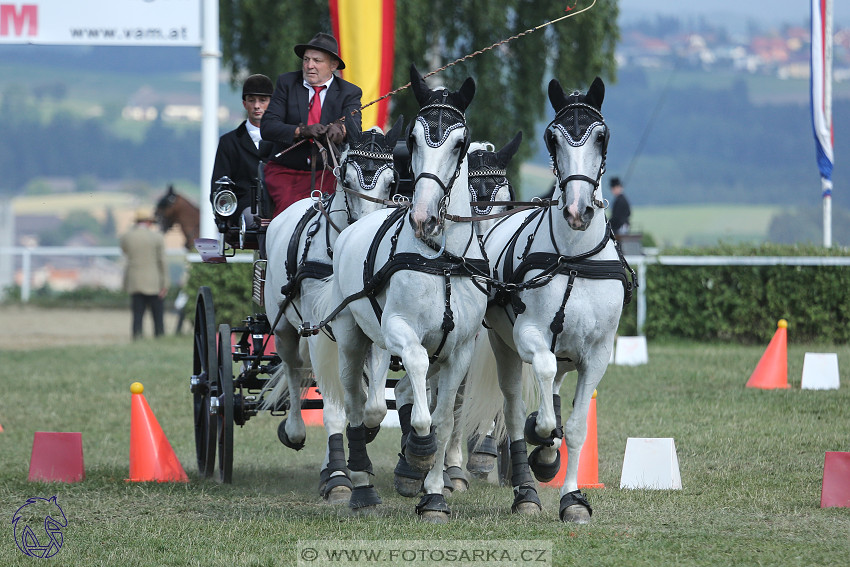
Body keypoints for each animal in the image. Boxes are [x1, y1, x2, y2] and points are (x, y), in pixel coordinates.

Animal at [260, 117, 402, 504]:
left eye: (391, 182)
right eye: (347, 179)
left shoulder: (374, 326)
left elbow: (373, 406)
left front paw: (363, 439)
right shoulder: (318, 331)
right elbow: (333, 407)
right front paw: (339, 475)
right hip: (285, 329)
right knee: (293, 371)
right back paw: (295, 431)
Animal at [312, 65, 486, 524]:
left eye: (459, 143)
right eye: (413, 139)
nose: (424, 217)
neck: (442, 259)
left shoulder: (461, 349)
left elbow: (444, 419)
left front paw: (434, 495)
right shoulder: (400, 330)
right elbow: (419, 379)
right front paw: (418, 454)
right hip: (351, 337)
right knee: (356, 407)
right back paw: (359, 486)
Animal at [464, 77, 636, 524]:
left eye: (601, 135)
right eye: (552, 137)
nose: (577, 210)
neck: (574, 258)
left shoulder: (597, 354)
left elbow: (574, 428)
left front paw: (572, 498)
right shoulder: (529, 335)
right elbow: (538, 409)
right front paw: (538, 441)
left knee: (554, 388)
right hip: (503, 345)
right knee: (511, 406)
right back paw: (525, 486)